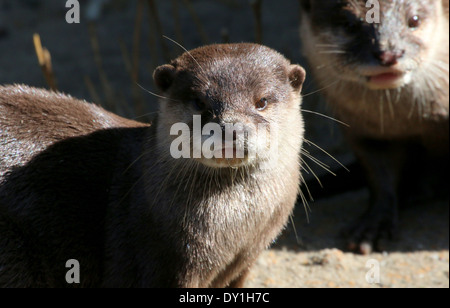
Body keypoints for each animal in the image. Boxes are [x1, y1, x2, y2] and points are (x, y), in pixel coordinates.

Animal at [0, 44, 306, 288]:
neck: (235, 232)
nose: (230, 128)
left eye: (262, 101)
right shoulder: (156, 262)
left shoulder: (243, 264)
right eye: (199, 102)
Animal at [298, 0, 450, 253]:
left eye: (414, 20)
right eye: (350, 25)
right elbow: (379, 175)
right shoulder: (367, 133)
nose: (388, 53)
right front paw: (375, 224)